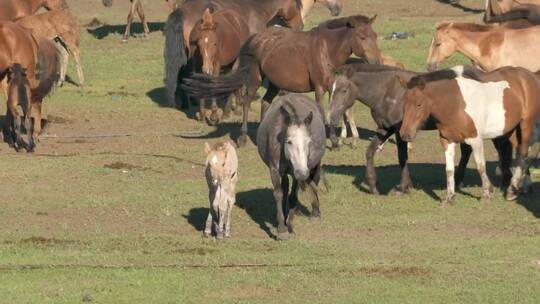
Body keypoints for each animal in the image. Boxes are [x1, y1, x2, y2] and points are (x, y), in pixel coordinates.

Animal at [181, 15, 380, 146]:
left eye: (375, 36)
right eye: (362, 37)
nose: (376, 62)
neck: (326, 49)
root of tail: (254, 39)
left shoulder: (332, 87)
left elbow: (335, 111)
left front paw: (335, 140)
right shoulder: (319, 89)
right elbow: (322, 112)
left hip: (274, 84)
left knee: (265, 102)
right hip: (255, 79)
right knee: (247, 102)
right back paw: (243, 137)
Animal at [256, 93, 326, 240]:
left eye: (309, 142)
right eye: (289, 142)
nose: (303, 173)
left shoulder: (296, 174)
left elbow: (294, 196)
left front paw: (290, 225)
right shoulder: (274, 170)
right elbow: (279, 193)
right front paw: (281, 228)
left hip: (315, 165)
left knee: (314, 182)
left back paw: (315, 213)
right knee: (285, 186)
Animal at [398, 65, 540, 205]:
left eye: (419, 104)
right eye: (403, 104)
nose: (405, 134)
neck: (455, 104)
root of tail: (530, 76)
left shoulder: (475, 140)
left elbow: (480, 166)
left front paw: (486, 193)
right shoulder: (447, 140)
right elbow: (449, 169)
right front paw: (449, 197)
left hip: (526, 124)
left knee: (523, 153)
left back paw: (512, 191)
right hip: (511, 130)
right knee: (521, 152)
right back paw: (519, 187)